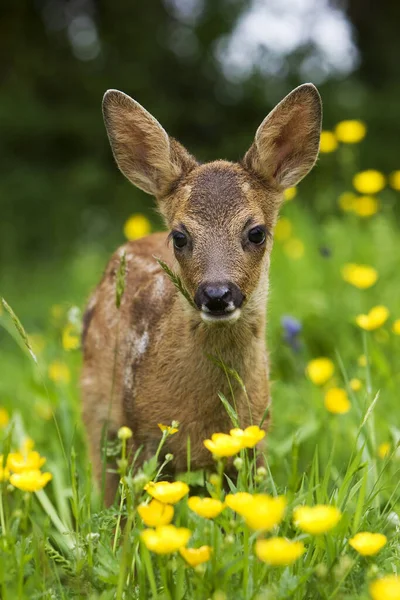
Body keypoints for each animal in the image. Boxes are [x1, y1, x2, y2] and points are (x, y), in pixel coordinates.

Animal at [81, 82, 322, 504]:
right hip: (97, 411)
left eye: (256, 232)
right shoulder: (141, 437)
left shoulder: (255, 438)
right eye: (180, 236)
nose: (216, 294)